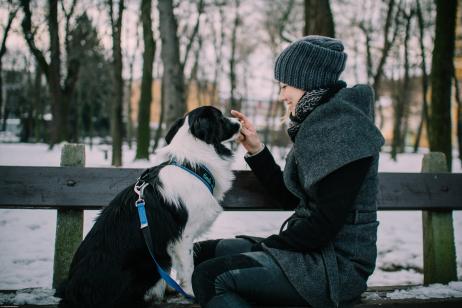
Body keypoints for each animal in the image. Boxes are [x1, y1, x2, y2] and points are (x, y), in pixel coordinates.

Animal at [56, 106, 240, 308]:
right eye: (220, 117)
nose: (239, 123)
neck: (192, 164)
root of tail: (71, 294)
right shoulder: (183, 237)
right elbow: (188, 268)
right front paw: (191, 293)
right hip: (147, 265)